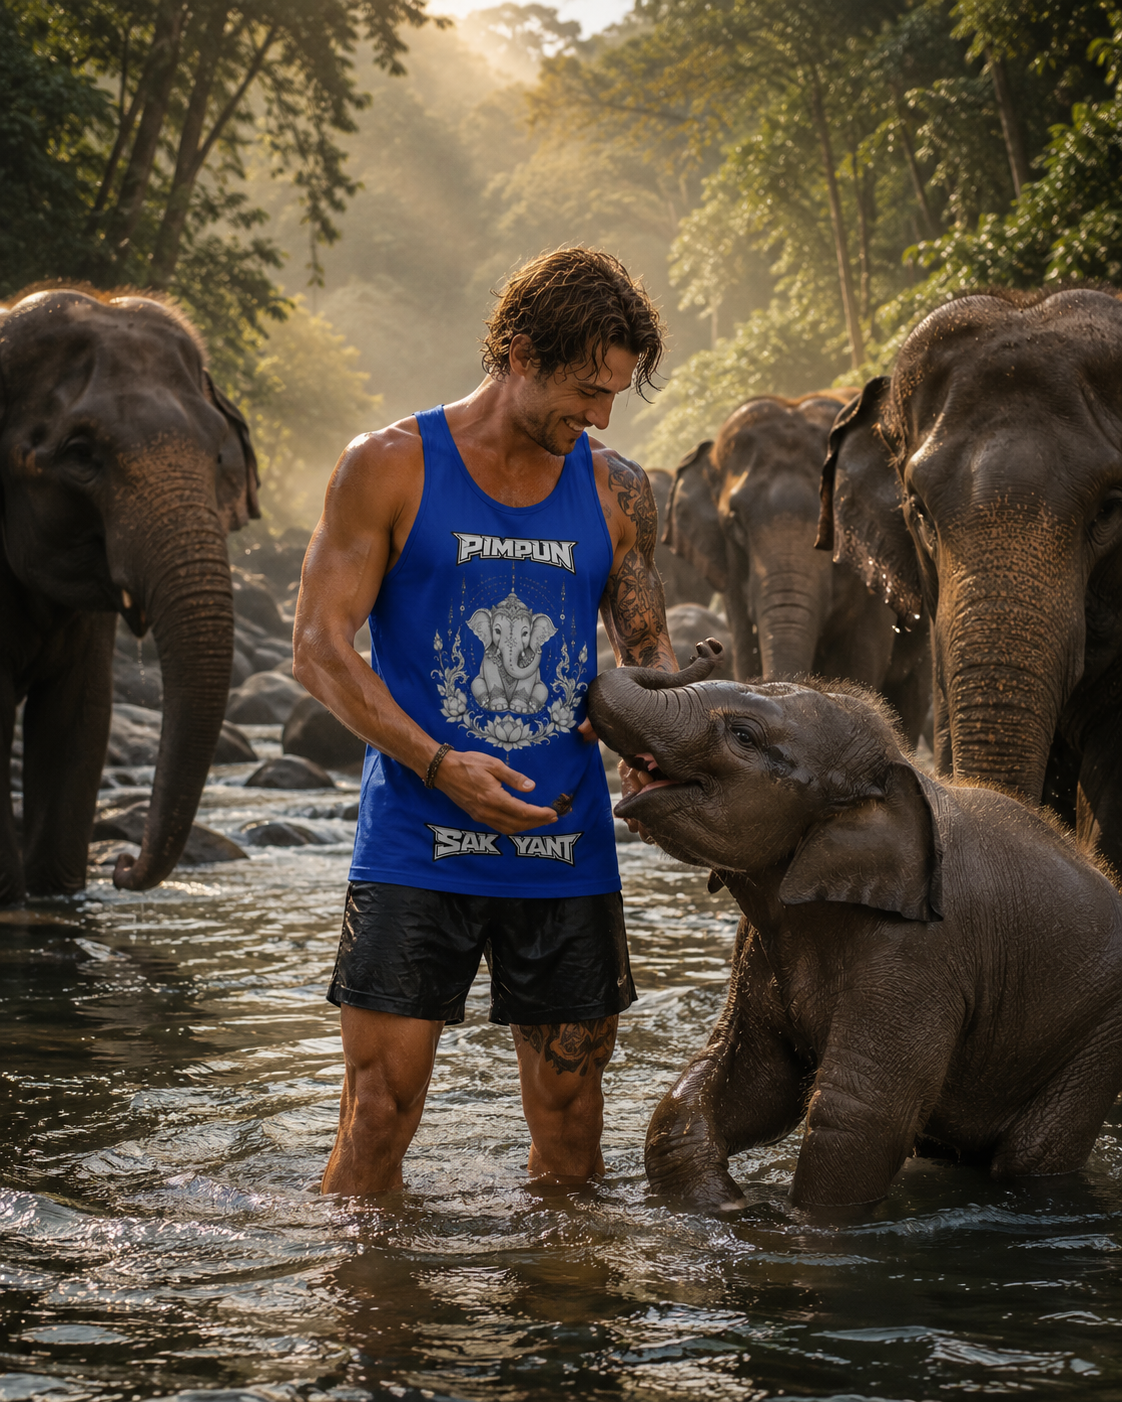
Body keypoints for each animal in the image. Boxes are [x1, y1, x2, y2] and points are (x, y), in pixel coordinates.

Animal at [587, 642, 1122, 1211]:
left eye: (743, 737)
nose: (707, 647)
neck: (897, 775)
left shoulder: (922, 954)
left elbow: (860, 1113)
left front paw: (791, 1221)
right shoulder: (757, 942)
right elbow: (752, 1079)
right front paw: (727, 1205)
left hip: (1098, 1039)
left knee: (1031, 1152)